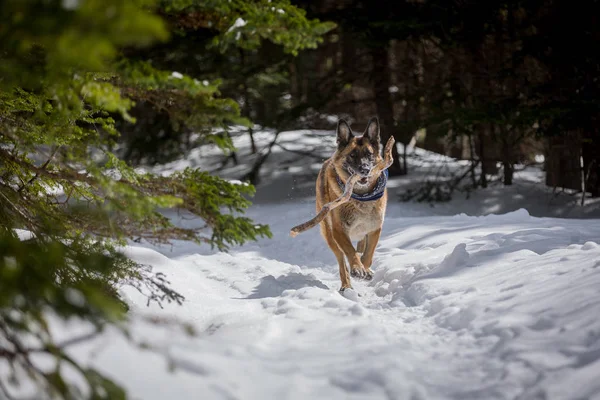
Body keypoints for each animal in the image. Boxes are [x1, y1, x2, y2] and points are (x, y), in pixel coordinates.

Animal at [314, 117, 390, 292]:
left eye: (369, 154)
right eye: (353, 155)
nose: (365, 170)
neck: (361, 197)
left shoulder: (375, 228)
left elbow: (369, 254)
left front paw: (365, 269)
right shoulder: (339, 230)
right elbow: (350, 251)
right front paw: (357, 268)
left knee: (361, 247)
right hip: (329, 235)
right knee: (342, 261)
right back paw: (347, 286)